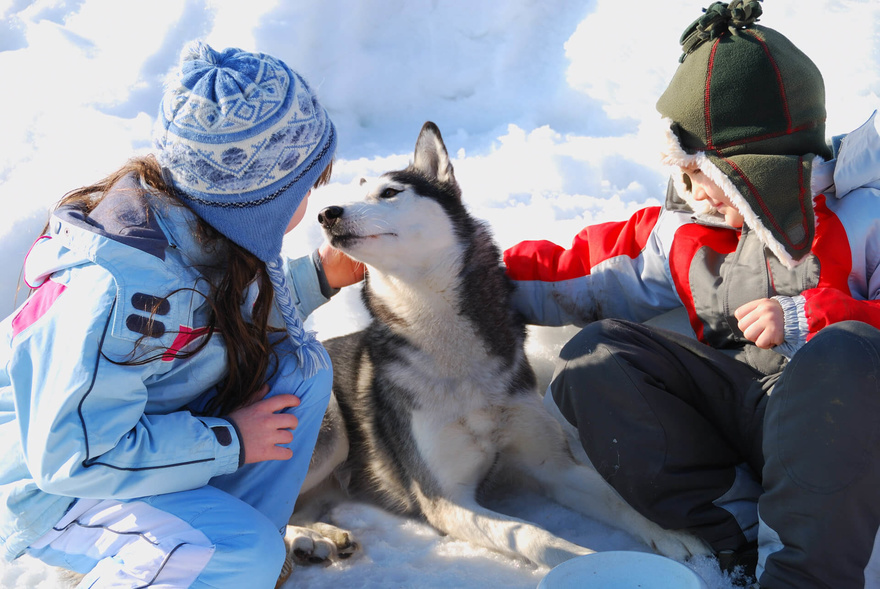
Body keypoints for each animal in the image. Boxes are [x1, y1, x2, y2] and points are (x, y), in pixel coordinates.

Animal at [280, 121, 708, 576]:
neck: (452, 351)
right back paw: (305, 539)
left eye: (390, 192)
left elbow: (616, 499)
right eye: (349, 197)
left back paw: (322, 536)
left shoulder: (552, 466)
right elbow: (533, 534)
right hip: (331, 427)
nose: (327, 214)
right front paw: (586, 562)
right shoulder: (446, 500)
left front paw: (672, 535)